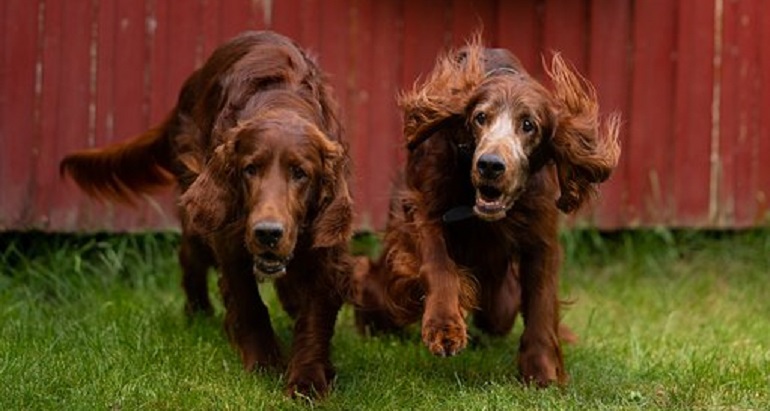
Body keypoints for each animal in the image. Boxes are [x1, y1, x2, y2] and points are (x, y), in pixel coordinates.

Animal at [60, 30, 354, 398]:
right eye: (250, 169)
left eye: (300, 173)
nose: (268, 233)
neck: (282, 100)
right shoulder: (229, 238)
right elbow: (249, 303)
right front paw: (265, 363)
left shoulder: (326, 244)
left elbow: (315, 314)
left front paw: (309, 377)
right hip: (199, 207)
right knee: (190, 255)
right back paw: (198, 313)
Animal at [354, 40, 616, 388]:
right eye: (480, 118)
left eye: (528, 125)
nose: (490, 165)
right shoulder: (423, 208)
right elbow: (438, 264)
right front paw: (444, 326)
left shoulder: (541, 237)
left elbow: (542, 304)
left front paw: (542, 372)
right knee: (375, 283)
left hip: (501, 298)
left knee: (499, 314)